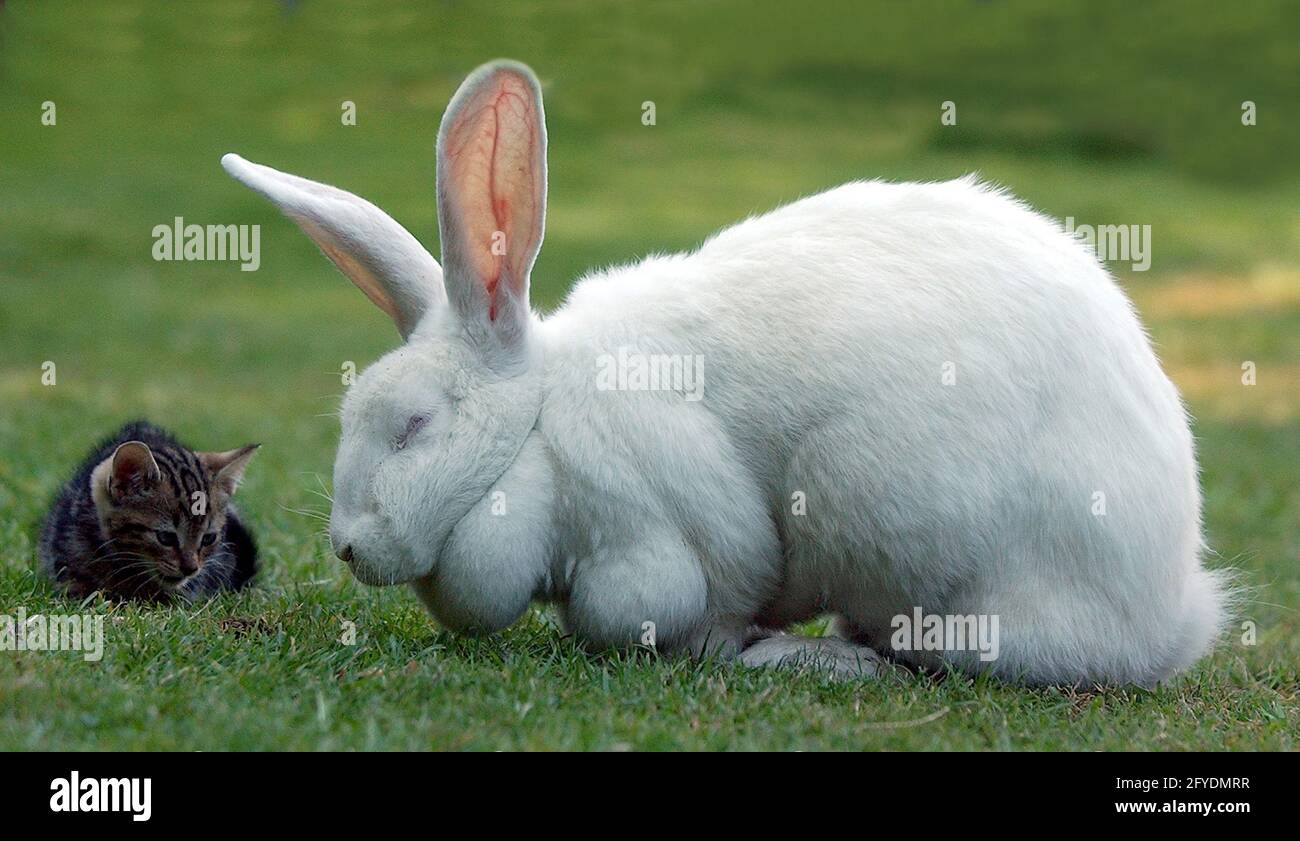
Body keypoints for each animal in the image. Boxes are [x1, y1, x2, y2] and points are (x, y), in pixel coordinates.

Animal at [222, 59, 1230, 686]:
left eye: (414, 425)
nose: (348, 548)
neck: (536, 430)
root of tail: (1174, 606)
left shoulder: (654, 535)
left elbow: (678, 610)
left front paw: (729, 649)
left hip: (893, 519)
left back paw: (816, 658)